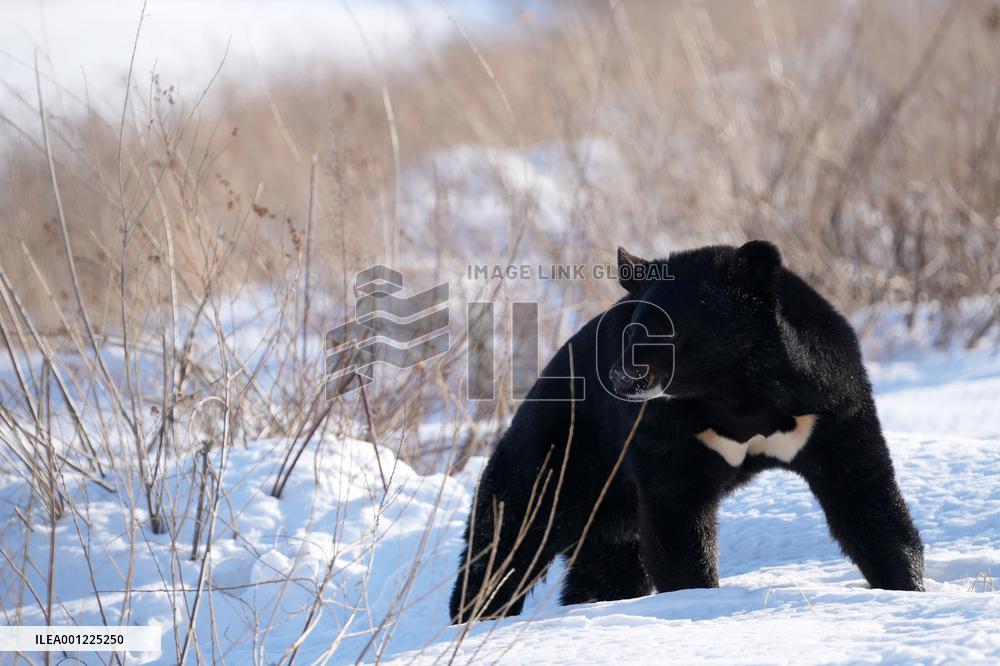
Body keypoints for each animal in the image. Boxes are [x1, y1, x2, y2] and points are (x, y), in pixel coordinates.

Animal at [449, 240, 924, 624]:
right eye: (632, 329)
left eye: (669, 330)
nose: (621, 379)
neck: (738, 393)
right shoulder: (664, 429)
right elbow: (678, 516)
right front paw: (696, 597)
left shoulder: (828, 405)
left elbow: (862, 492)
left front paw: (906, 586)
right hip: (561, 454)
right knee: (508, 536)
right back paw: (475, 616)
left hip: (607, 507)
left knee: (606, 567)